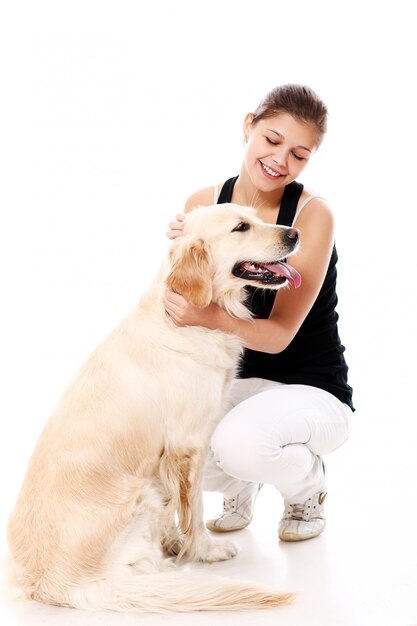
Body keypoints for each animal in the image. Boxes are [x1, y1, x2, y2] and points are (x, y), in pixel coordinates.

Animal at [6, 204, 300, 608]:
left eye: (255, 217)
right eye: (241, 227)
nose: (295, 233)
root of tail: (51, 582)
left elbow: (181, 509)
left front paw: (181, 543)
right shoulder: (188, 445)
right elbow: (193, 508)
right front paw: (205, 551)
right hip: (141, 493)